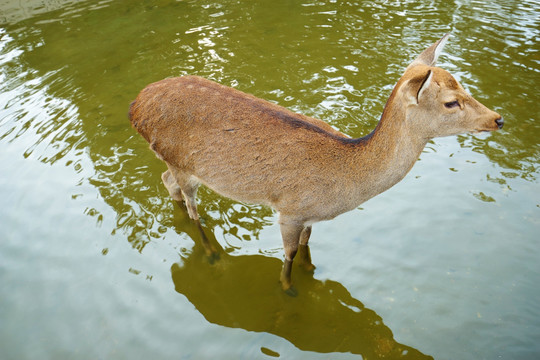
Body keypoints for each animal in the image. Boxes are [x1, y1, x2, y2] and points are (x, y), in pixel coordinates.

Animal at [130, 33, 502, 296]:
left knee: (167, 183)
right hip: (181, 161)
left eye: (464, 86)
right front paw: (289, 291)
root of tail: (136, 106)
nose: (497, 119)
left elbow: (307, 248)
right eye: (451, 102)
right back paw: (210, 254)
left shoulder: (309, 217)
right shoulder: (290, 210)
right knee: (192, 208)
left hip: (171, 161)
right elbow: (290, 257)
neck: (339, 187)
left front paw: (312, 273)